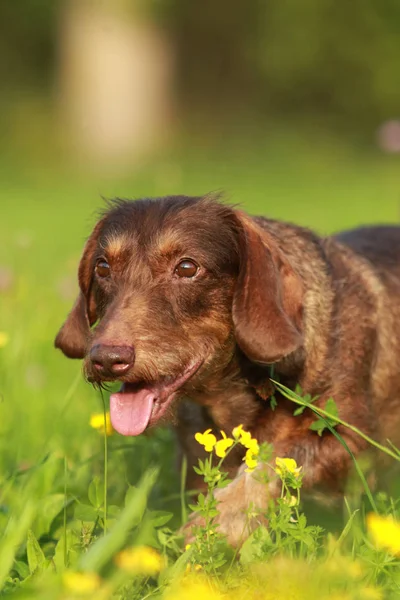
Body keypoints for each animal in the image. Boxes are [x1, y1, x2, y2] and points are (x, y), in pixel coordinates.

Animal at [54, 195, 400, 548]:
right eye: (102, 267)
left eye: (187, 267)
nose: (107, 359)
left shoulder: (353, 442)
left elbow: (275, 461)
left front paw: (212, 527)